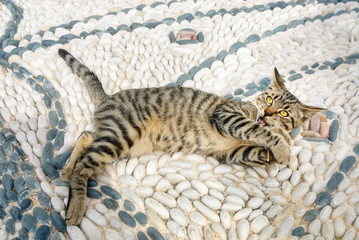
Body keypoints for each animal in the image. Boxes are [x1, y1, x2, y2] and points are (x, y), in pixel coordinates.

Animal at [57, 48, 324, 225]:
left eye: (284, 112)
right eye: (268, 99)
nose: (267, 113)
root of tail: (108, 99)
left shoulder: (230, 152)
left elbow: (258, 145)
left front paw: (277, 147)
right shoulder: (227, 116)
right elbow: (259, 130)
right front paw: (282, 148)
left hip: (124, 141)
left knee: (86, 136)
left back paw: (66, 169)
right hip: (124, 134)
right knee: (84, 164)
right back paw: (75, 205)